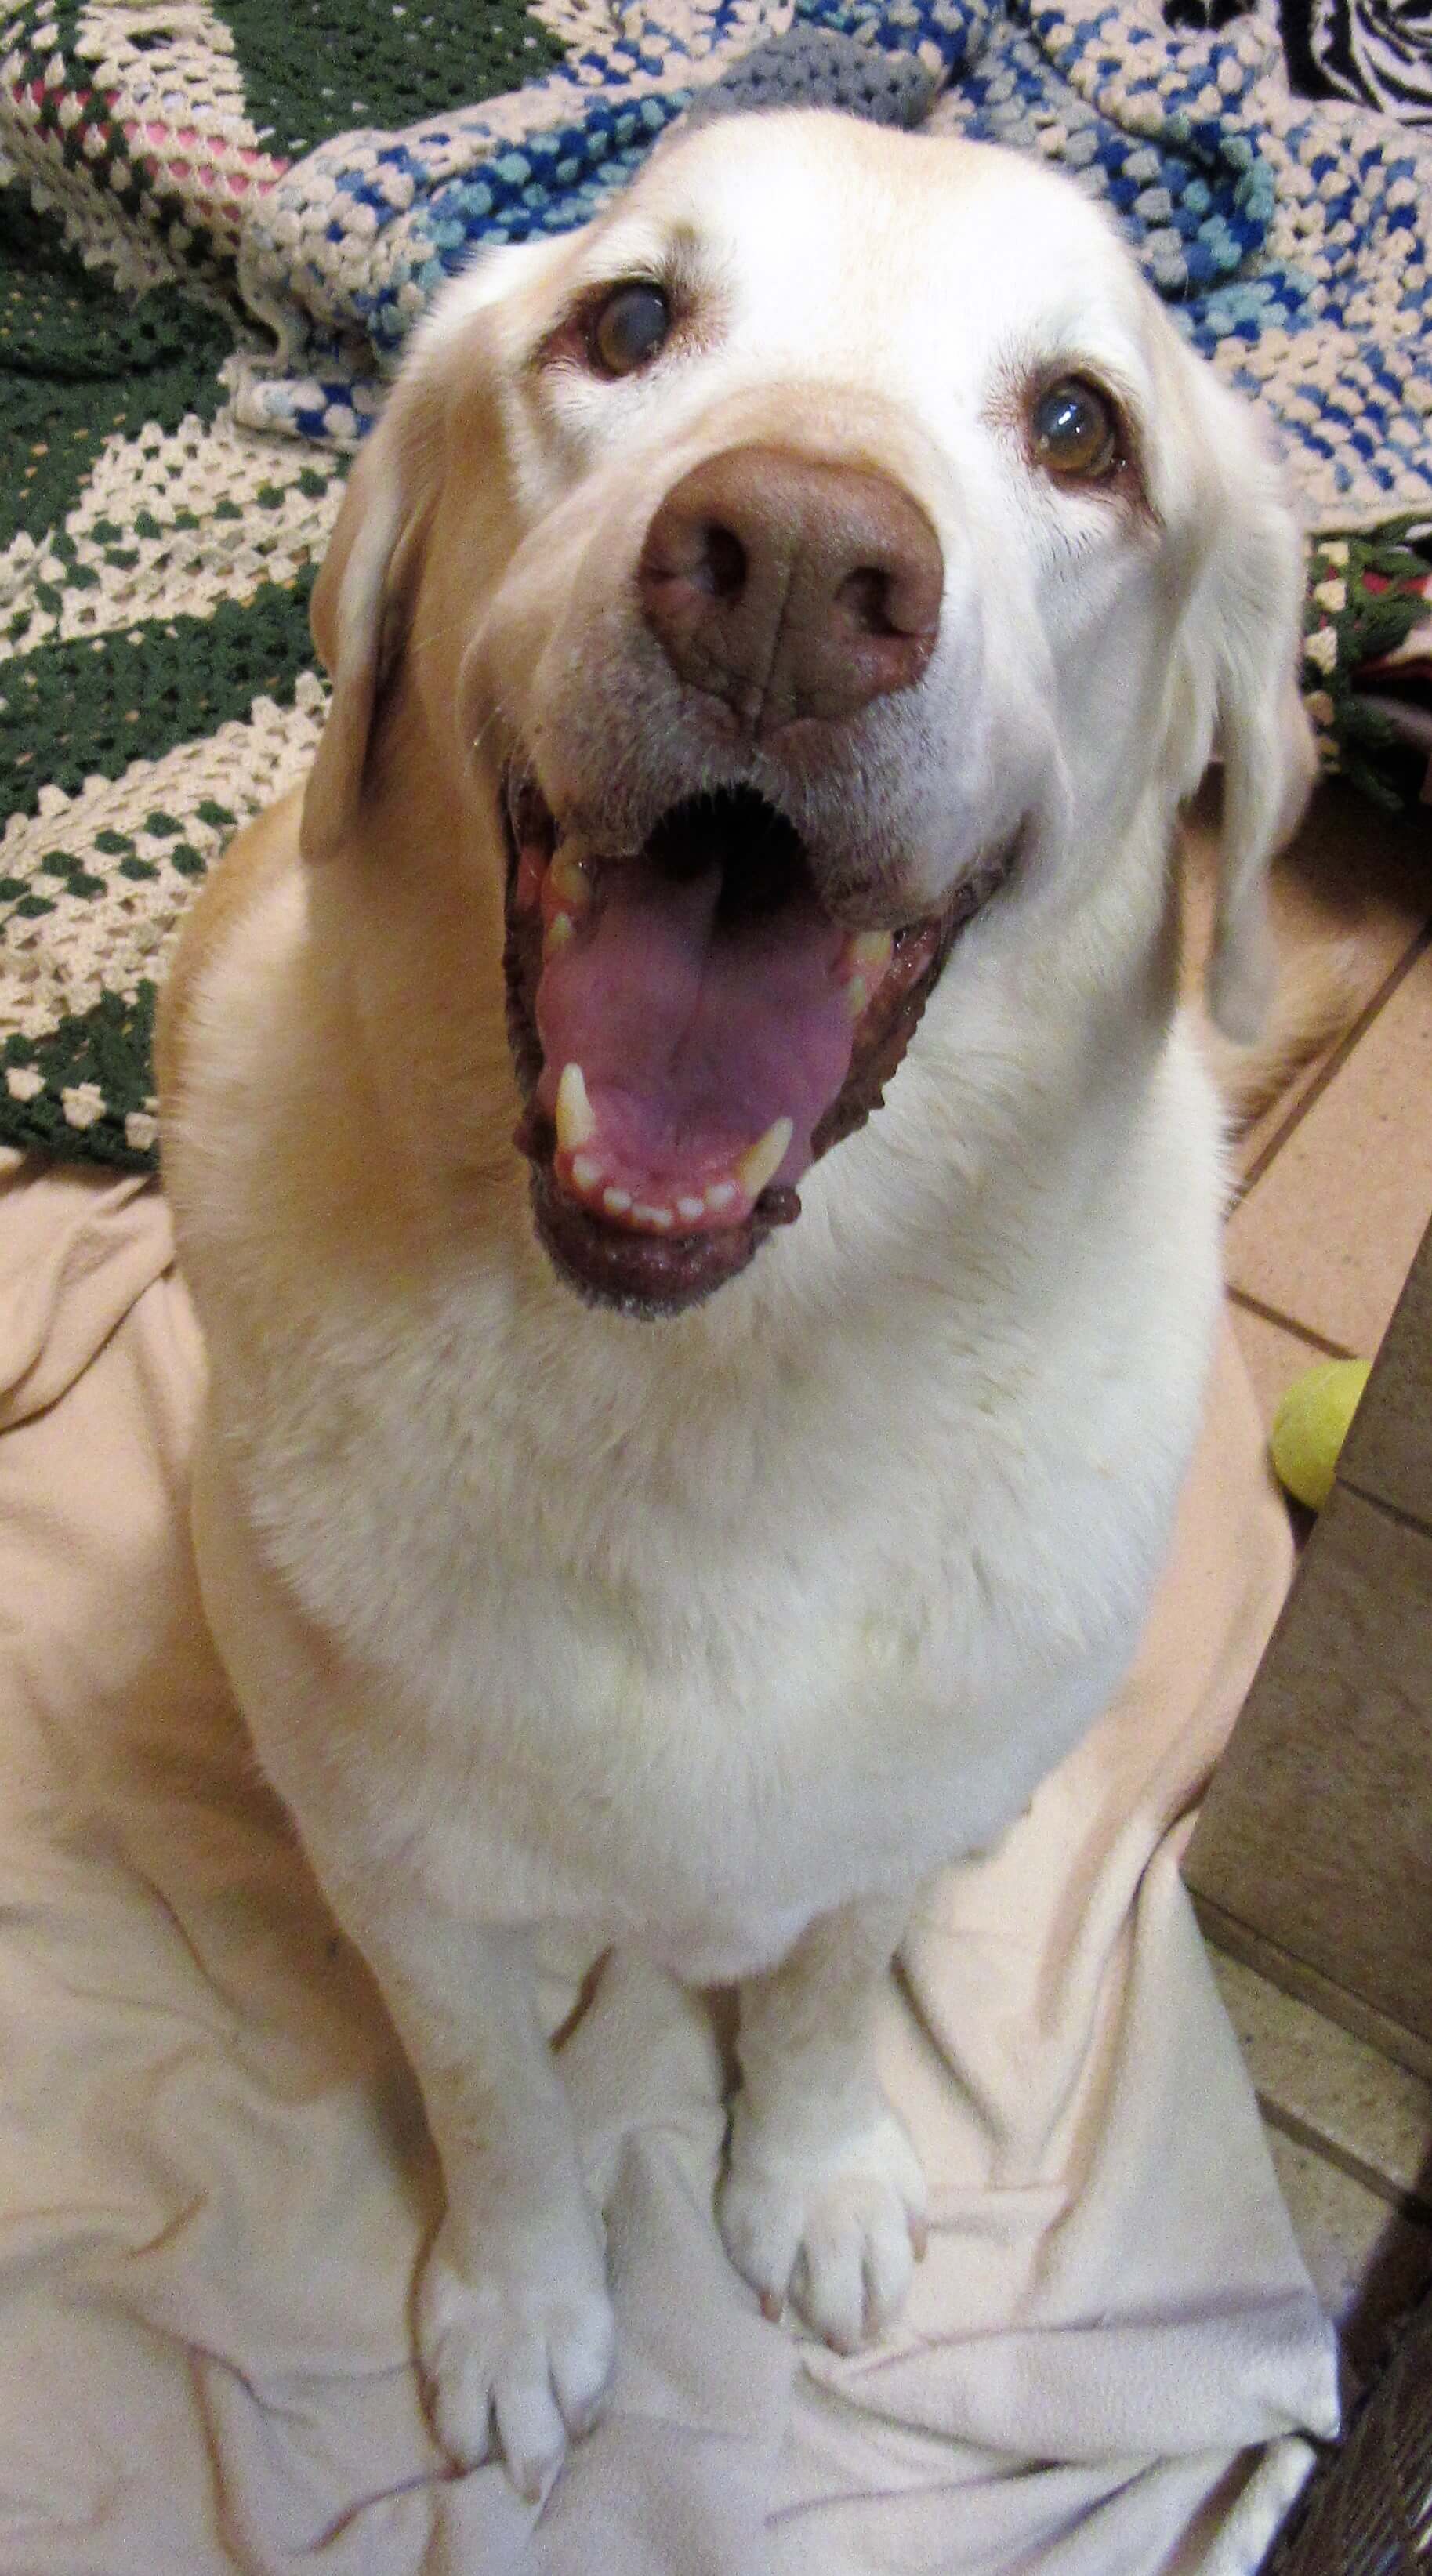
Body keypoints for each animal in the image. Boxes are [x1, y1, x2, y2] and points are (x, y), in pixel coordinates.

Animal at [156, 111, 1308, 2503]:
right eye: (627, 321)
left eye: (1082, 428)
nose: (788, 565)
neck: (711, 1381)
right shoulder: (406, 1882)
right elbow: (496, 2093)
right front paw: (523, 2301)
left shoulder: (882, 1821)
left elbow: (827, 1980)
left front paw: (811, 2170)